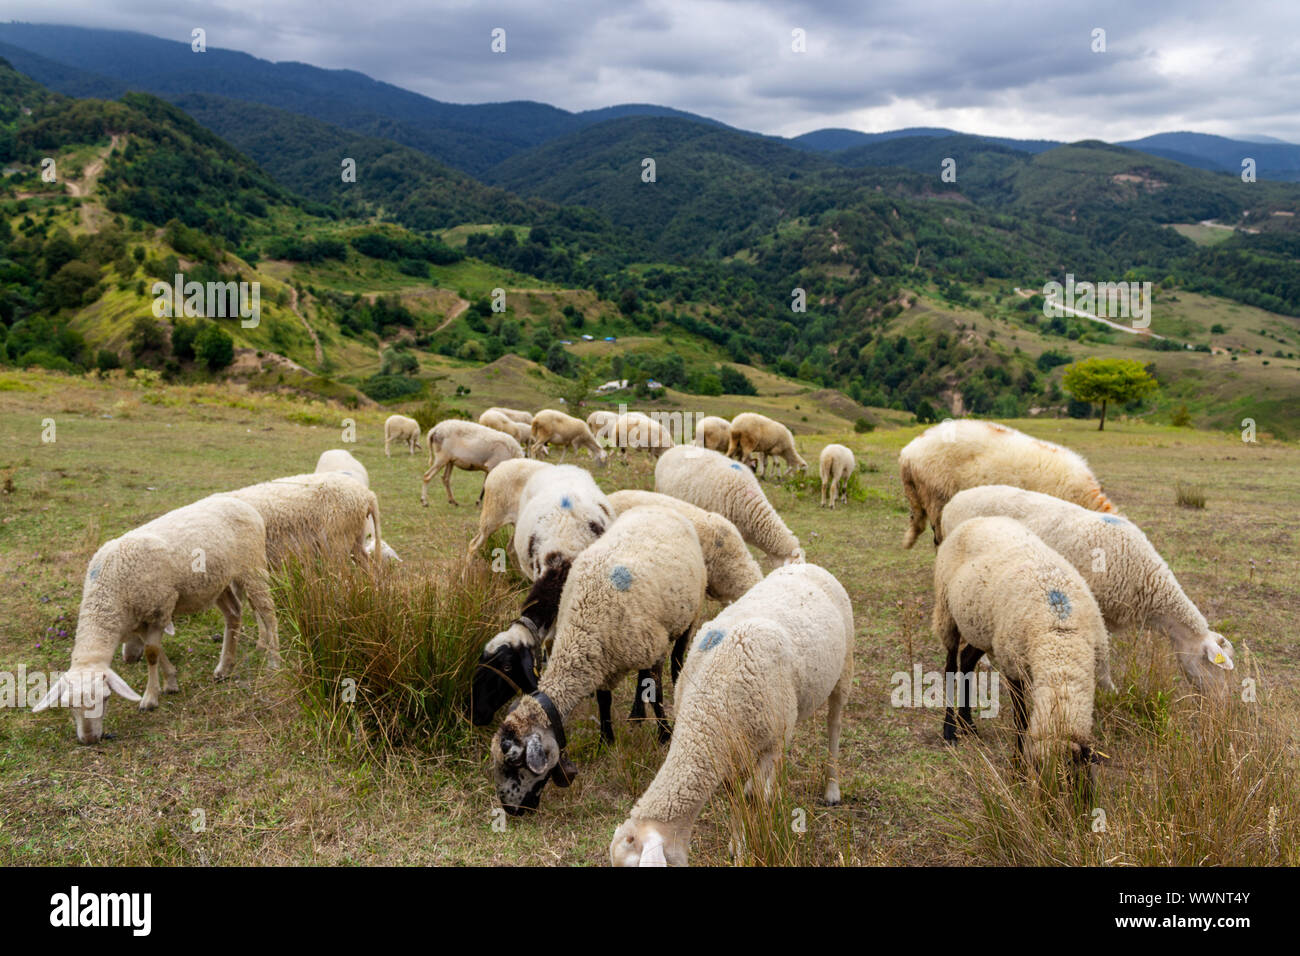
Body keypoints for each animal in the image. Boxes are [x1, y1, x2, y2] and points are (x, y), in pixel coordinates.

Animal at [31, 495, 278, 743]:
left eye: (106, 698)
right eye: (69, 705)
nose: (90, 740)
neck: (109, 590)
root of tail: (242, 504)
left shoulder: (159, 609)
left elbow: (151, 653)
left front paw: (150, 698)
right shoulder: (140, 619)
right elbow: (157, 651)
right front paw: (170, 681)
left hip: (253, 567)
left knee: (268, 613)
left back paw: (274, 661)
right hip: (219, 582)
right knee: (234, 614)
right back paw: (224, 668)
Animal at [490, 505, 707, 815]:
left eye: (513, 763)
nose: (510, 810)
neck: (582, 626)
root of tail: (659, 506)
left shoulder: (649, 648)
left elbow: (657, 695)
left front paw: (665, 735)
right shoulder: (603, 662)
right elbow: (605, 701)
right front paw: (606, 740)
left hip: (688, 615)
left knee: (676, 660)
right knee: (643, 677)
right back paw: (635, 713)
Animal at [609, 562, 854, 866]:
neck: (709, 707)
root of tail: (804, 564)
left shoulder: (768, 742)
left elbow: (753, 798)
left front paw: (754, 840)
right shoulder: (727, 749)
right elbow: (735, 796)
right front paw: (737, 843)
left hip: (844, 667)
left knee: (834, 725)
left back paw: (832, 788)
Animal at [932, 516, 1110, 786]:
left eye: (1079, 779)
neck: (1060, 636)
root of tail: (979, 519)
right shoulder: (1013, 665)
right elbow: (1022, 720)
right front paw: (1017, 768)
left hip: (982, 627)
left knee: (967, 661)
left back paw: (968, 723)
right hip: (947, 612)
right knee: (952, 666)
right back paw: (950, 729)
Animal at [940, 485, 1234, 695]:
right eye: (1213, 667)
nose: (1220, 706)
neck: (1147, 579)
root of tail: (954, 500)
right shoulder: (1094, 608)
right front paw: (1110, 690)